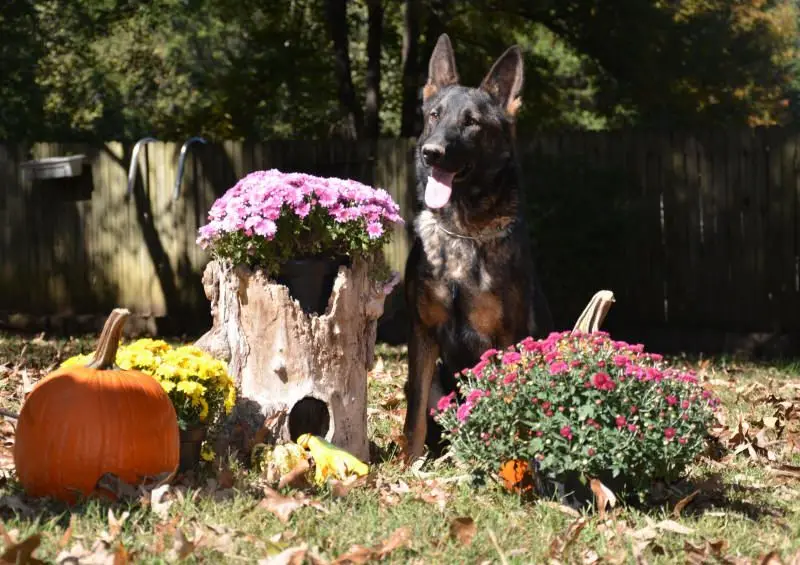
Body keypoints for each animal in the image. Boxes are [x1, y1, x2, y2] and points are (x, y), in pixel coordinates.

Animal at [402, 33, 554, 462]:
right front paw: (408, 464)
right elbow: (414, 416)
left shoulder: (507, 339)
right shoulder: (422, 334)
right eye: (433, 116)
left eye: (471, 123)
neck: (462, 232)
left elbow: (507, 407)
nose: (431, 153)